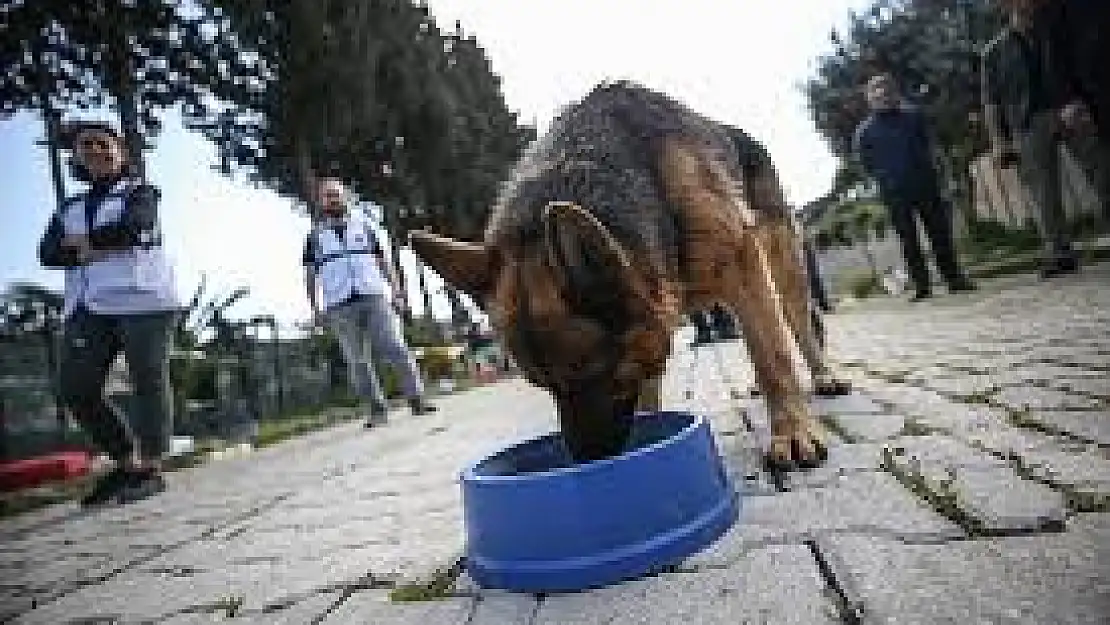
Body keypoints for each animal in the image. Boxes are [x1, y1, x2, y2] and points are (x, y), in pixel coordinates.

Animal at [412, 84, 852, 475]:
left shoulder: (742, 266)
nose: (588, 462)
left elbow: (773, 357)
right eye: (542, 385)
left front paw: (791, 433)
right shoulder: (649, 322)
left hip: (781, 267)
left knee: (798, 324)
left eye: (590, 375)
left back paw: (823, 375)